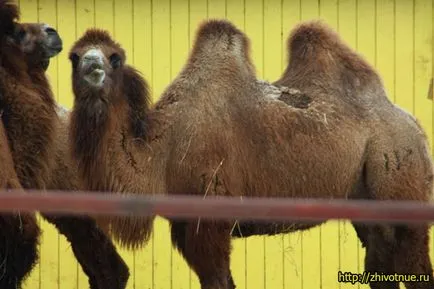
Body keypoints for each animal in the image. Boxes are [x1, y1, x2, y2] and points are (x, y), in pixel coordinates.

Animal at [68, 19, 434, 288]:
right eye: (75, 55)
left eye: (115, 57)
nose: (92, 66)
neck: (161, 152)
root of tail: (415, 128)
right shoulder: (185, 225)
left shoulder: (209, 218)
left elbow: (218, 281)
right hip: (368, 201)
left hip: (401, 175)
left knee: (415, 263)